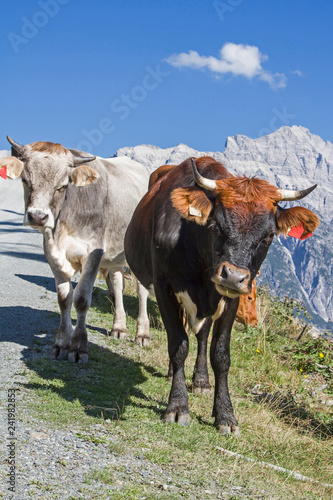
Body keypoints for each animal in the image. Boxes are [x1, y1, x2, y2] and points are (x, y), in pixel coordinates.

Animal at [1, 137, 149, 362]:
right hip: (115, 256)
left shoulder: (94, 252)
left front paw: (79, 347)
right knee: (117, 285)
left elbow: (81, 299)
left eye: (62, 186)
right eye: (25, 180)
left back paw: (142, 334)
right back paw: (119, 328)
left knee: (142, 291)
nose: (37, 217)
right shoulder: (52, 253)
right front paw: (61, 344)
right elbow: (64, 299)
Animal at [125, 156, 320, 434]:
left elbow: (220, 354)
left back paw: (200, 380)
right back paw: (175, 373)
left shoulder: (230, 299)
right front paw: (177, 406)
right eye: (215, 225)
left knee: (202, 335)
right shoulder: (164, 286)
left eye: (269, 236)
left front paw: (225, 415)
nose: (233, 276)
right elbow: (178, 344)